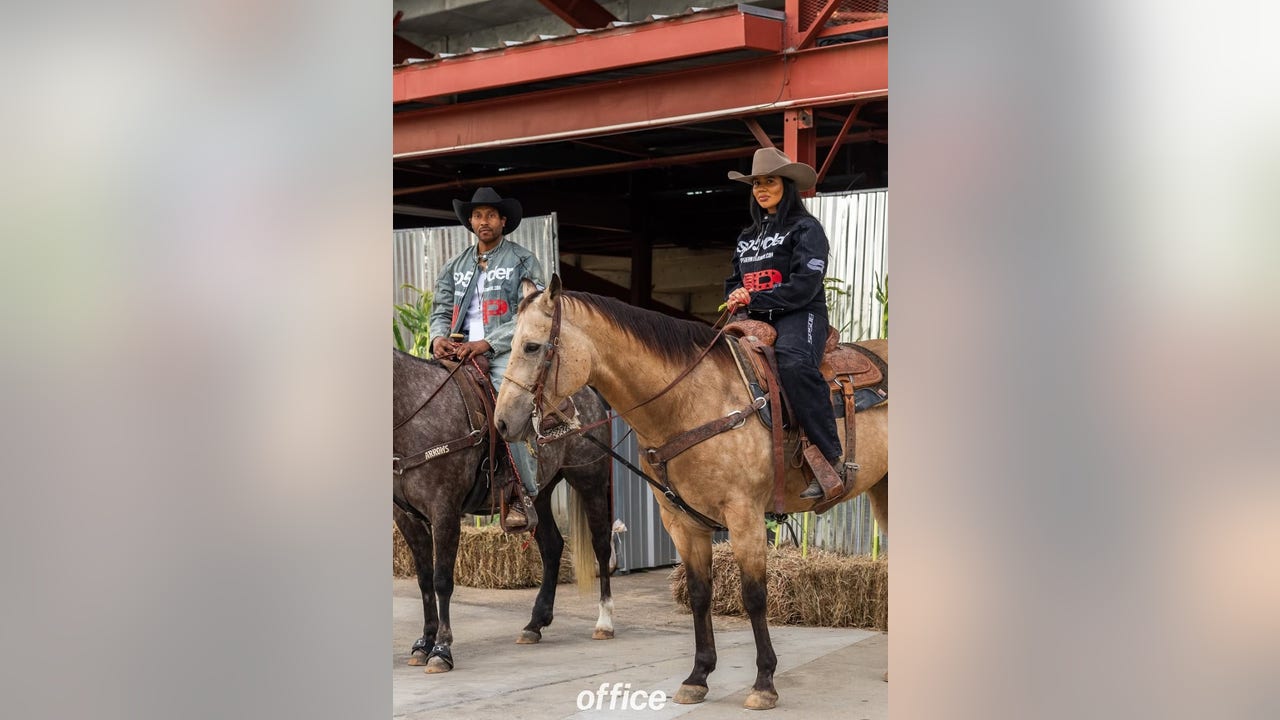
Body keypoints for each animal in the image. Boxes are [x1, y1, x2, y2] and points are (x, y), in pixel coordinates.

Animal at [393, 349, 617, 674]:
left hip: (590, 481)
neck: (416, 414)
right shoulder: (406, 517)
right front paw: (423, 643)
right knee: (552, 546)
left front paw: (442, 650)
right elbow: (423, 580)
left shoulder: (444, 510)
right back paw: (534, 624)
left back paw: (604, 622)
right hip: (539, 494)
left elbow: (441, 580)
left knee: (600, 544)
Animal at [492, 276, 887, 710]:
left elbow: (754, 595)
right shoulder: (681, 520)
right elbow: (700, 593)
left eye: (532, 346)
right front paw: (698, 676)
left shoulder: (744, 516)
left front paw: (764, 682)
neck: (691, 403)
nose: (502, 423)